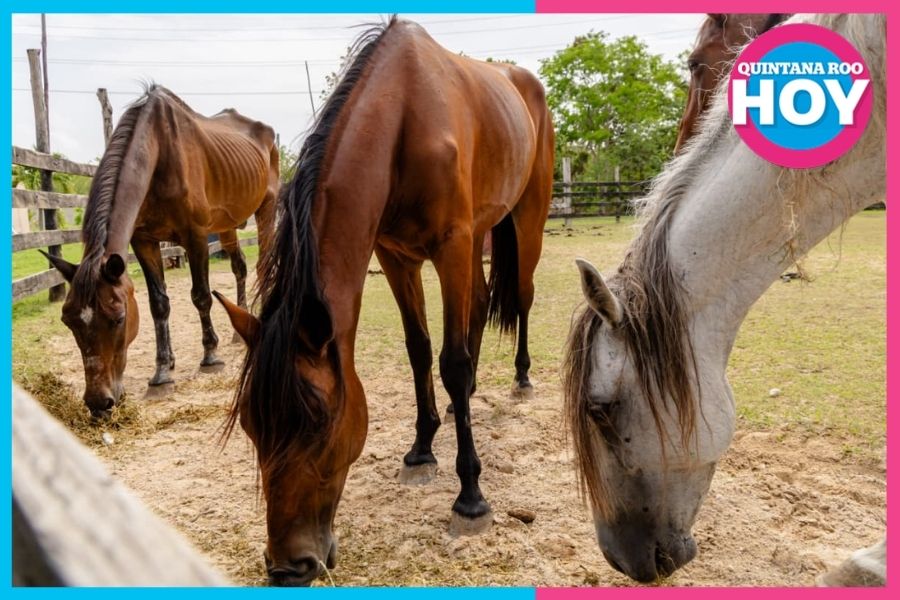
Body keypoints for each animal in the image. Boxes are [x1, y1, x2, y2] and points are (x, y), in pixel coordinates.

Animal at [44, 84, 279, 417]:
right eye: (68, 320)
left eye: (118, 318)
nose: (99, 403)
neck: (158, 151)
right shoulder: (144, 241)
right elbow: (159, 304)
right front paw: (163, 372)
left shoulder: (195, 237)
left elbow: (201, 296)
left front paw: (210, 357)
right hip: (228, 225)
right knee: (240, 267)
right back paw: (238, 329)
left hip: (266, 208)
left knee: (262, 264)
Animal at [215, 17, 554, 587]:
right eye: (251, 426)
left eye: (319, 424)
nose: (288, 567)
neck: (405, 118)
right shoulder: (395, 256)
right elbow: (420, 350)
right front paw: (422, 448)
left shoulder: (452, 245)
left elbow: (450, 361)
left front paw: (471, 495)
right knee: (479, 305)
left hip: (526, 218)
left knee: (521, 298)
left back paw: (522, 377)